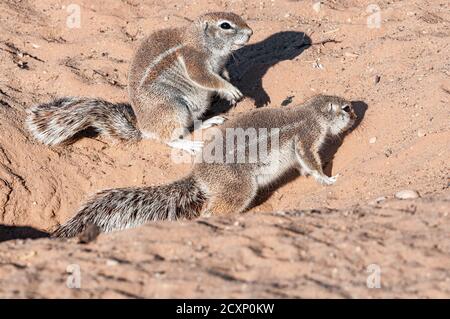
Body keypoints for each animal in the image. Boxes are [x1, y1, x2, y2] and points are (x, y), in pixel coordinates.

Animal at [26, 11, 253, 154]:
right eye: (225, 25)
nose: (251, 32)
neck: (200, 40)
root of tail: (143, 129)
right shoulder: (194, 61)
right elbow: (205, 78)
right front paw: (229, 89)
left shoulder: (219, 65)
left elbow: (220, 74)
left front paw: (228, 83)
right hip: (174, 108)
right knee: (169, 139)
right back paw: (188, 145)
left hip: (194, 108)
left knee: (190, 126)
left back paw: (209, 121)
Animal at [51, 95, 356, 238]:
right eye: (346, 108)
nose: (356, 111)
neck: (311, 112)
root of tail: (199, 176)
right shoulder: (306, 137)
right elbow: (310, 161)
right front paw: (328, 179)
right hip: (239, 188)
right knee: (213, 210)